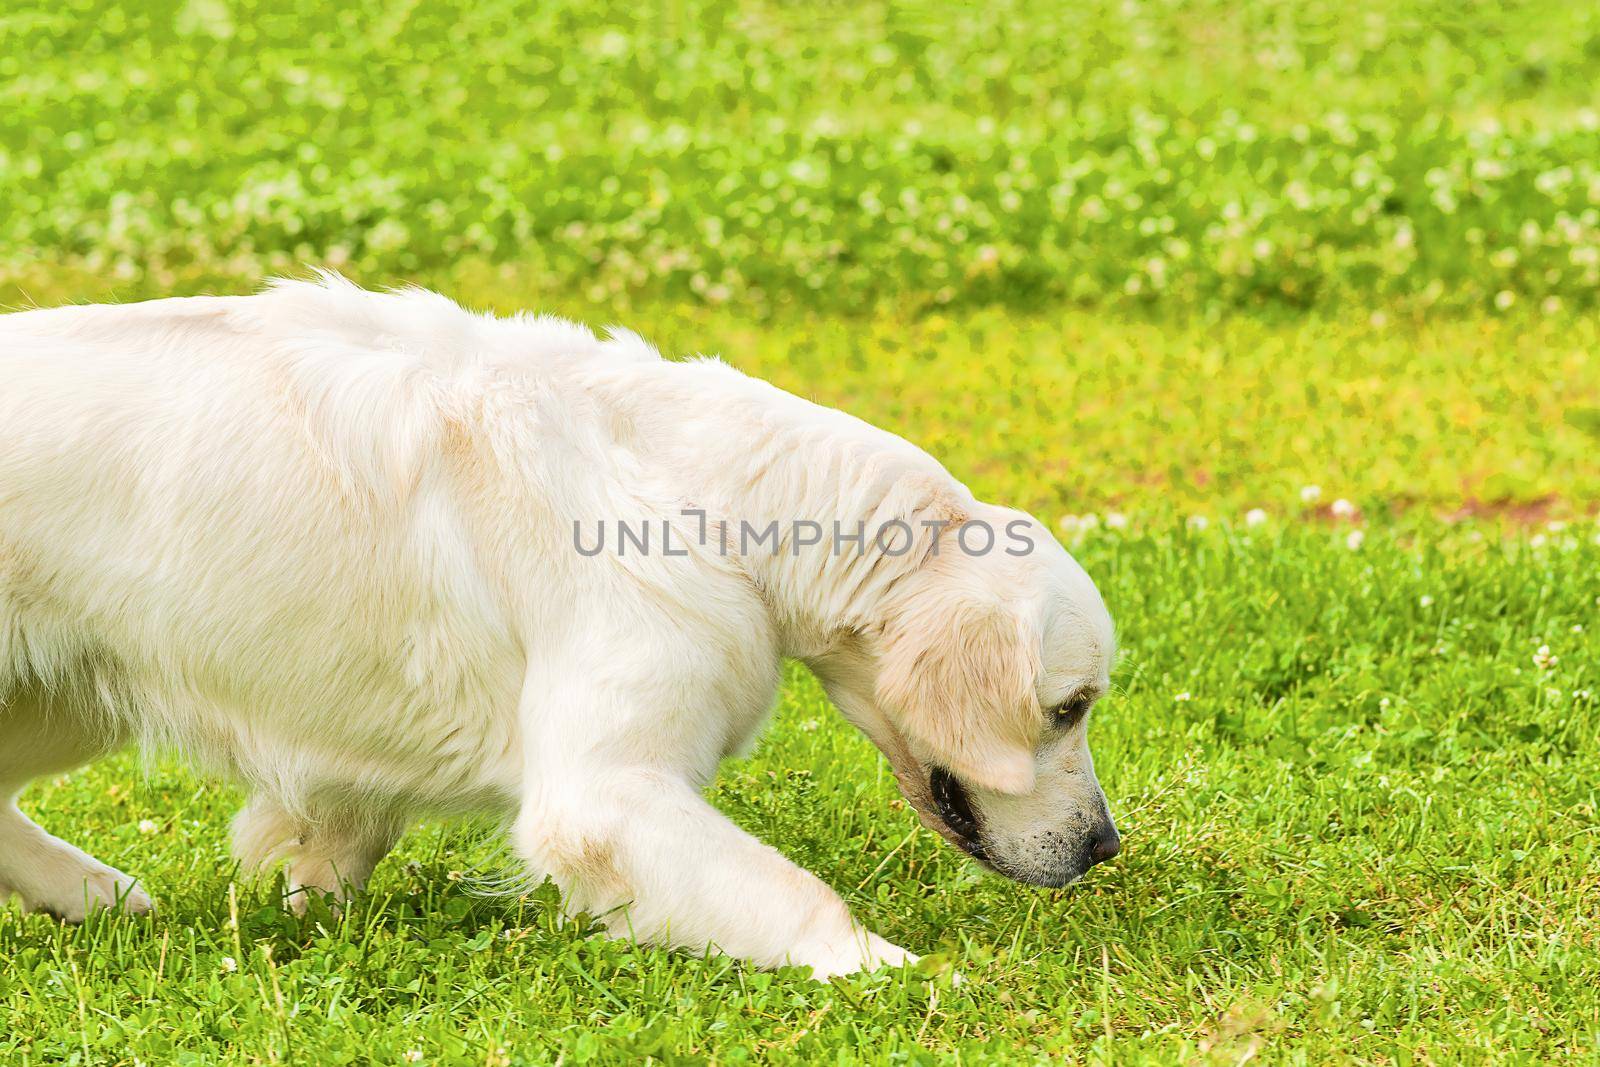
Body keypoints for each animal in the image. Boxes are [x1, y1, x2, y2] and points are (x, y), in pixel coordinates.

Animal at [0, 275, 1113, 979]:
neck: (715, 496)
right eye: (1068, 707)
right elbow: (792, 892)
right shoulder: (602, 790)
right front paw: (898, 970)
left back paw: (94, 892)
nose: (1104, 846)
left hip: (67, 694)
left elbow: (338, 830)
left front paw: (313, 895)